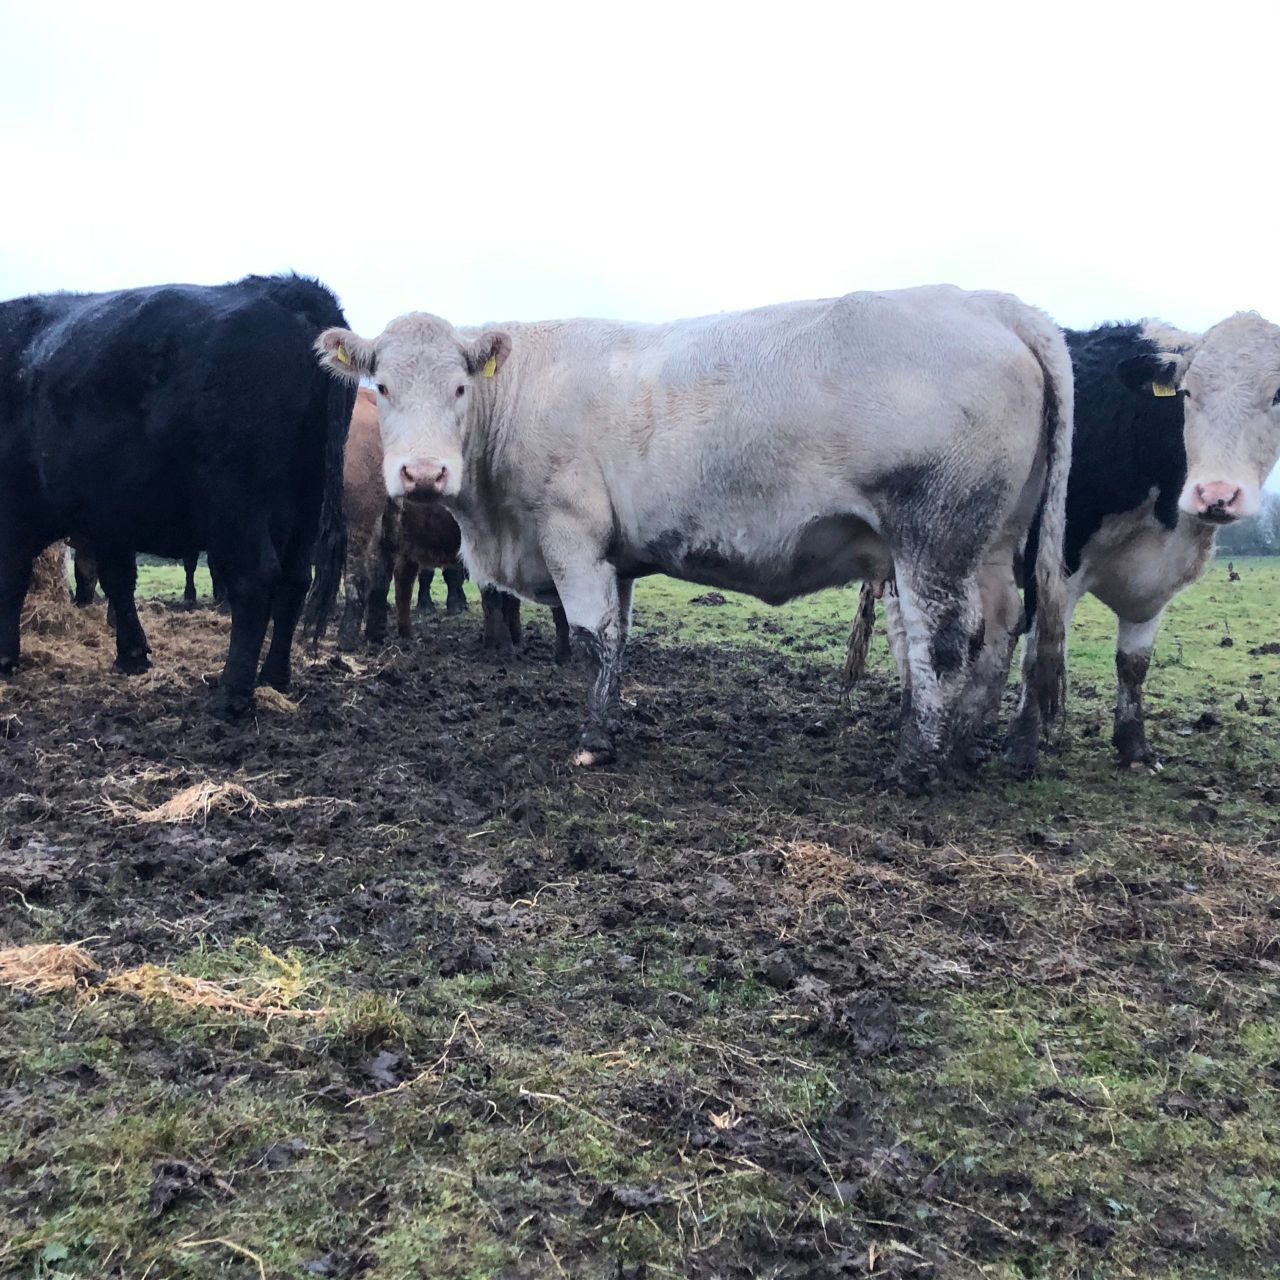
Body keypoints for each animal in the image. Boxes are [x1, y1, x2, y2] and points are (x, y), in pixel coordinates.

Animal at [0, 274, 354, 718]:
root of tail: (284, 291)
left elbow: (11, 578)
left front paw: (4, 657)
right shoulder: (110, 515)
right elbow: (118, 580)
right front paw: (132, 655)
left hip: (235, 499)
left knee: (255, 579)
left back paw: (232, 694)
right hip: (307, 501)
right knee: (294, 581)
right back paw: (274, 677)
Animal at [850, 311, 1280, 769]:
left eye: (1277, 396)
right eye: (1187, 393)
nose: (1216, 494)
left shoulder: (1157, 580)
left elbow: (1134, 664)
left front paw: (1134, 746)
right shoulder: (1056, 562)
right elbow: (1038, 653)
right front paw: (1021, 749)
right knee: (905, 632)